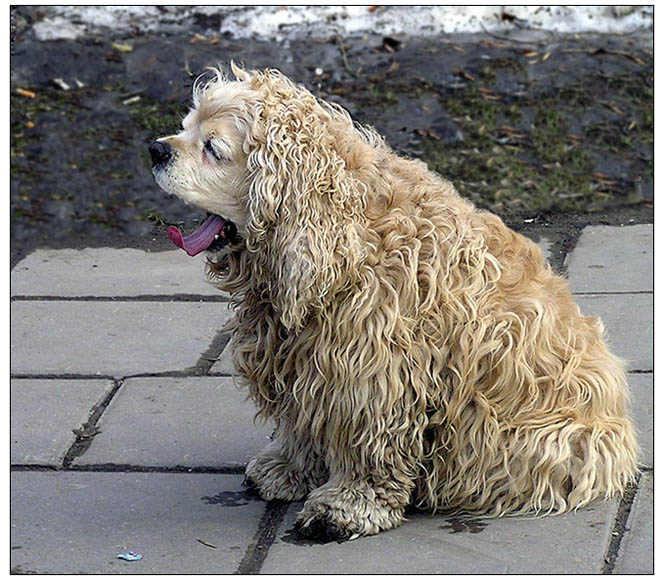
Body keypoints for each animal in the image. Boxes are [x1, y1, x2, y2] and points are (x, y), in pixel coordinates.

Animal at [150, 63, 640, 540]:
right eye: (185, 127)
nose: (156, 150)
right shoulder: (302, 359)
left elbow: (367, 446)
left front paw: (345, 507)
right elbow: (301, 421)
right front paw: (286, 467)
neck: (345, 234)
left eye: (213, 148)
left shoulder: (371, 371)